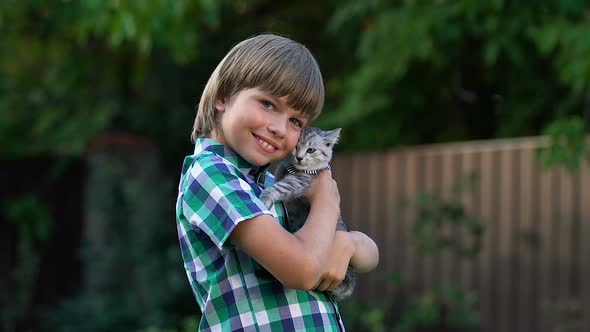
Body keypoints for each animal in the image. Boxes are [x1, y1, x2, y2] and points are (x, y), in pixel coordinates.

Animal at [262, 126, 356, 302]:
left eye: (311, 150)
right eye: (295, 146)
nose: (299, 157)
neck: (292, 168)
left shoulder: (299, 182)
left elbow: (278, 187)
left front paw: (265, 197)